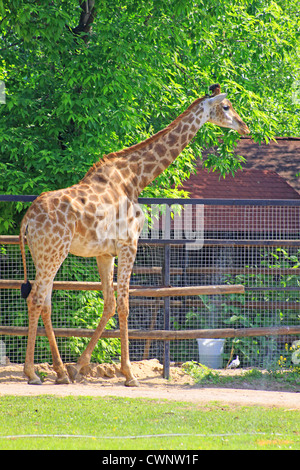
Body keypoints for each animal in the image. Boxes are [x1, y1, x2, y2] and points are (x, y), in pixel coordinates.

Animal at [18, 84, 248, 386]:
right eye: (226, 106)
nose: (244, 126)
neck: (135, 178)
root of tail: (27, 219)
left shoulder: (105, 253)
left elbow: (109, 304)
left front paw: (78, 368)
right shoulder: (130, 244)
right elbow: (125, 305)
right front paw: (128, 374)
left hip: (42, 254)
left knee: (44, 301)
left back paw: (60, 372)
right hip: (54, 252)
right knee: (36, 298)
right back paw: (32, 373)